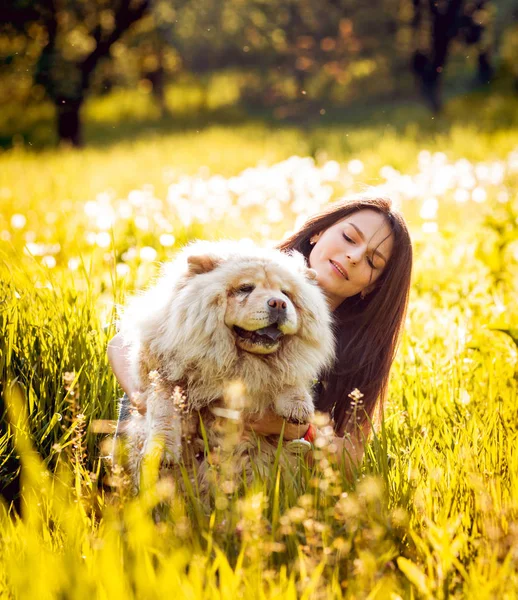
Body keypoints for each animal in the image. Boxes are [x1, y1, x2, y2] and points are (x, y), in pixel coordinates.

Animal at [117, 239, 338, 492]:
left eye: (286, 293)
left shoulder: (281, 367)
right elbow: (164, 411)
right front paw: (162, 452)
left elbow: (287, 375)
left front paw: (298, 405)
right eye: (245, 288)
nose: (279, 303)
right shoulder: (162, 374)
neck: (240, 361)